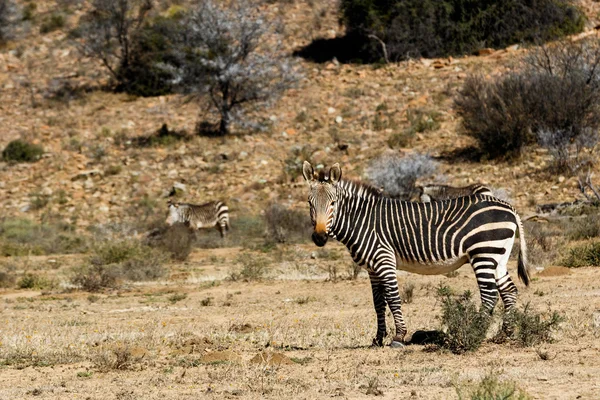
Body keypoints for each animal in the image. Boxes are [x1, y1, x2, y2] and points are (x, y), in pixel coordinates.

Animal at [304, 162, 528, 346]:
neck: (360, 220)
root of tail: (509, 207)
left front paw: (398, 337)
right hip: (498, 256)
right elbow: (378, 303)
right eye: (309, 203)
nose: (319, 238)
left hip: (484, 253)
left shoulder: (384, 260)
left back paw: (477, 332)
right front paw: (378, 339)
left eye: (333, 203)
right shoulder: (372, 268)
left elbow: (393, 298)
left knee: (490, 295)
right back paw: (505, 333)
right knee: (509, 291)